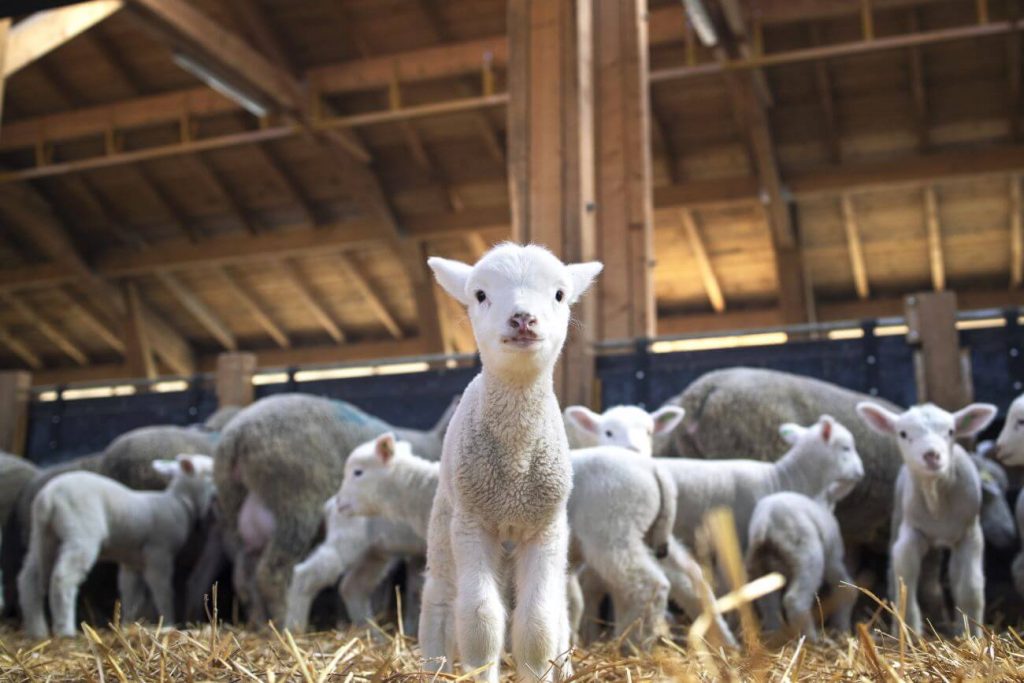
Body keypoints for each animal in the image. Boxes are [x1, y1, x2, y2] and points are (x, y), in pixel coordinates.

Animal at [18, 454, 216, 643]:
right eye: (209, 471)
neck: (180, 502)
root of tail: (48, 496)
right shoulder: (159, 552)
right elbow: (163, 589)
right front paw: (168, 621)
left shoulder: (132, 561)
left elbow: (130, 592)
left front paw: (128, 623)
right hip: (81, 532)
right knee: (63, 577)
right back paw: (65, 630)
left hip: (43, 536)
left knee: (29, 578)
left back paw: (37, 630)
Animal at [211, 393, 452, 626]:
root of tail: (237, 435)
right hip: (296, 507)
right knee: (275, 573)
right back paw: (284, 623)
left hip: (238, 517)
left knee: (245, 578)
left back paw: (260, 624)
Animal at [421, 244, 602, 679]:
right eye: (480, 294)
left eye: (559, 295)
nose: (522, 318)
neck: (515, 470)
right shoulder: (473, 524)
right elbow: (480, 619)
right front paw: (479, 672)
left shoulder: (545, 529)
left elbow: (537, 624)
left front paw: (539, 673)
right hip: (445, 522)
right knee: (440, 598)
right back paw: (430, 668)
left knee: (559, 613)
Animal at [745, 421, 864, 643]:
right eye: (846, 448)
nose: (860, 473)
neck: (821, 500)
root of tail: (766, 522)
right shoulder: (833, 555)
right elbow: (846, 589)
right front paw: (842, 627)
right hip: (808, 556)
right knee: (795, 600)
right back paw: (812, 639)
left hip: (758, 563)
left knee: (767, 600)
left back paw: (774, 634)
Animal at [860, 401, 995, 634]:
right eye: (903, 433)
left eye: (950, 431)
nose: (932, 455)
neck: (936, 499)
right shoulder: (910, 534)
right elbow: (904, 579)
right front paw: (908, 631)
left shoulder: (970, 535)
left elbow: (970, 587)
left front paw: (971, 633)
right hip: (898, 516)